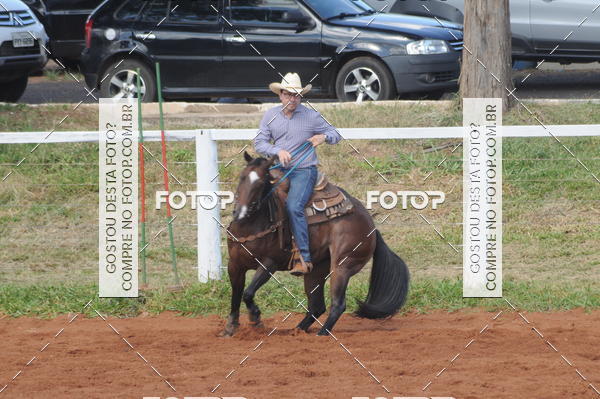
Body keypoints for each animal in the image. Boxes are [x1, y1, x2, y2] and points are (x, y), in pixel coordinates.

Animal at [223, 153, 410, 338]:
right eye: (242, 177)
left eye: (262, 183)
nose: (240, 212)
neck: (250, 226)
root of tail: (372, 226)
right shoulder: (234, 265)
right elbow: (236, 295)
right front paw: (231, 327)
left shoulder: (269, 264)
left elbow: (247, 293)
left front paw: (255, 318)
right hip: (316, 271)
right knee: (317, 306)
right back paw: (297, 331)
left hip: (343, 266)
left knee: (338, 304)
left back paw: (321, 334)